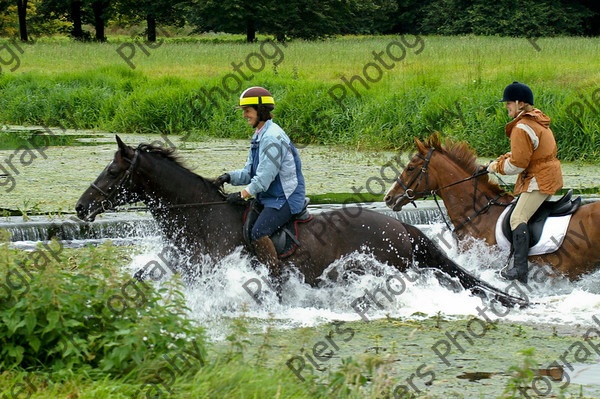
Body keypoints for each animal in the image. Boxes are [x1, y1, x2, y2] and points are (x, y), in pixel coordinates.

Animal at [74, 136, 524, 308]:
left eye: (113, 172)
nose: (80, 207)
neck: (200, 217)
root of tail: (402, 226)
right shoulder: (180, 265)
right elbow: (140, 279)